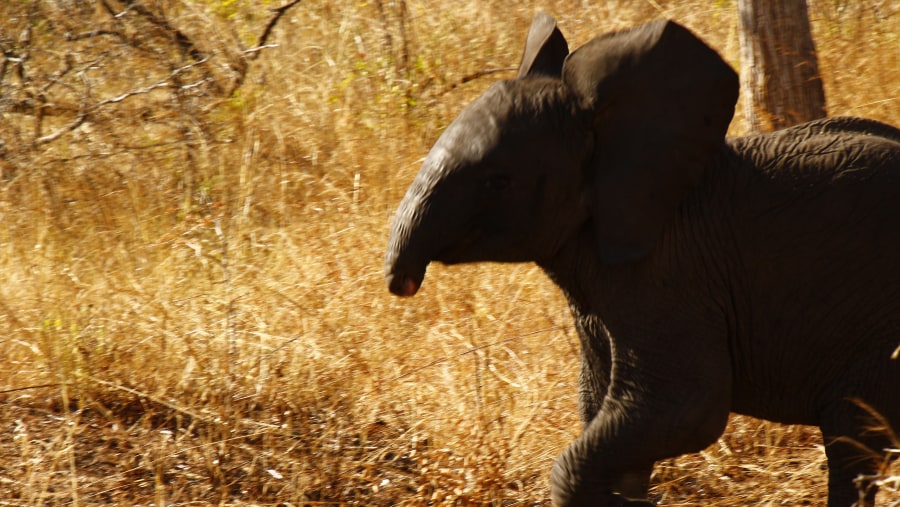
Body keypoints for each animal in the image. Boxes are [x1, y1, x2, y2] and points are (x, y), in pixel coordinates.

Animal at [384, 11, 900, 507]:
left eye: (499, 181)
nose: (401, 279)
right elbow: (603, 408)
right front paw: (627, 494)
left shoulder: (670, 277)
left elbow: (683, 408)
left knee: (851, 442)